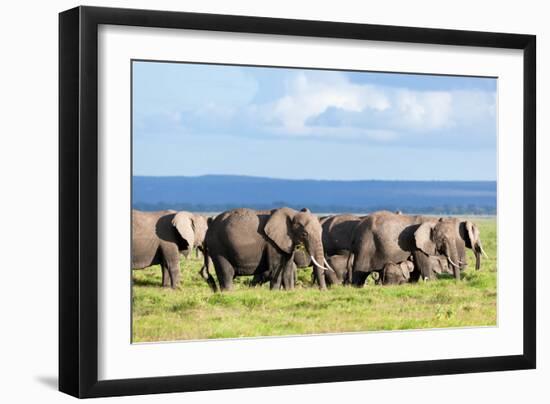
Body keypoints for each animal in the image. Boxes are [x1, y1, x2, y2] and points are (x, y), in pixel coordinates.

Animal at [352, 210, 490, 286]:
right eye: (443, 240)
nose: (457, 282)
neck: (432, 221)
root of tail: (358, 225)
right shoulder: (416, 242)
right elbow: (423, 262)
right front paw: (433, 282)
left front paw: (413, 283)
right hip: (366, 244)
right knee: (359, 272)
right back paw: (354, 286)